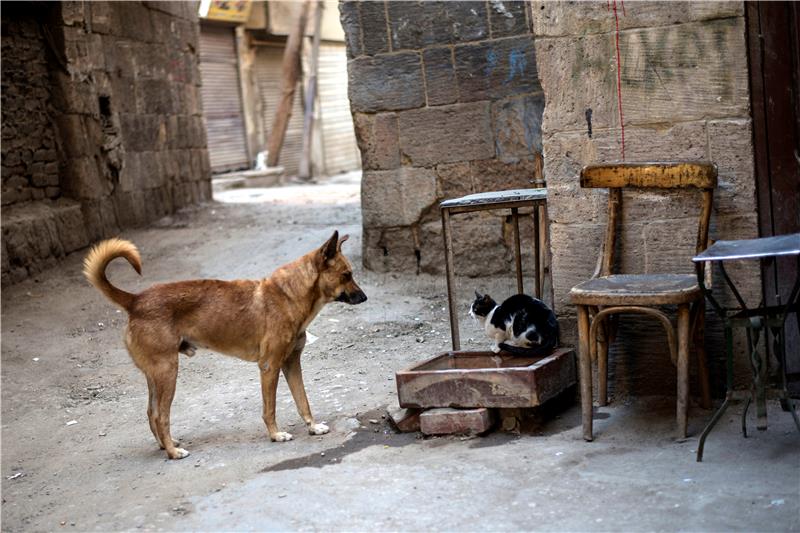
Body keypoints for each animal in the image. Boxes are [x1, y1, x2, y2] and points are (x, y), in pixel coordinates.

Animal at [83, 231, 366, 460]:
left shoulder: (291, 363)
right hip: (168, 372)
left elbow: (303, 400)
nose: (364, 298)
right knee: (161, 416)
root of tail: (135, 300)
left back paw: (166, 445)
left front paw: (313, 427)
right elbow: (270, 408)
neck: (290, 295)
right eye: (346, 275)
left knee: (151, 414)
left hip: (156, 376)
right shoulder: (270, 366)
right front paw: (275, 435)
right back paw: (174, 453)